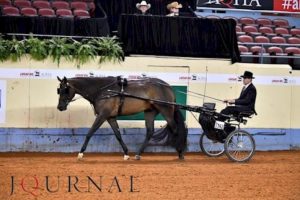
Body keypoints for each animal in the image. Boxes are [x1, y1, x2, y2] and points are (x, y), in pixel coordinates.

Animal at [56, 76, 188, 160]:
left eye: (65, 89)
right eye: (59, 90)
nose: (60, 107)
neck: (103, 90)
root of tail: (168, 86)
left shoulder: (102, 115)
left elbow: (90, 132)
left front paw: (81, 153)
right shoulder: (110, 117)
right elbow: (118, 135)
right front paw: (126, 153)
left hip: (166, 110)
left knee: (175, 129)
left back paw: (180, 152)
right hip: (150, 112)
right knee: (150, 132)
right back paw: (138, 154)